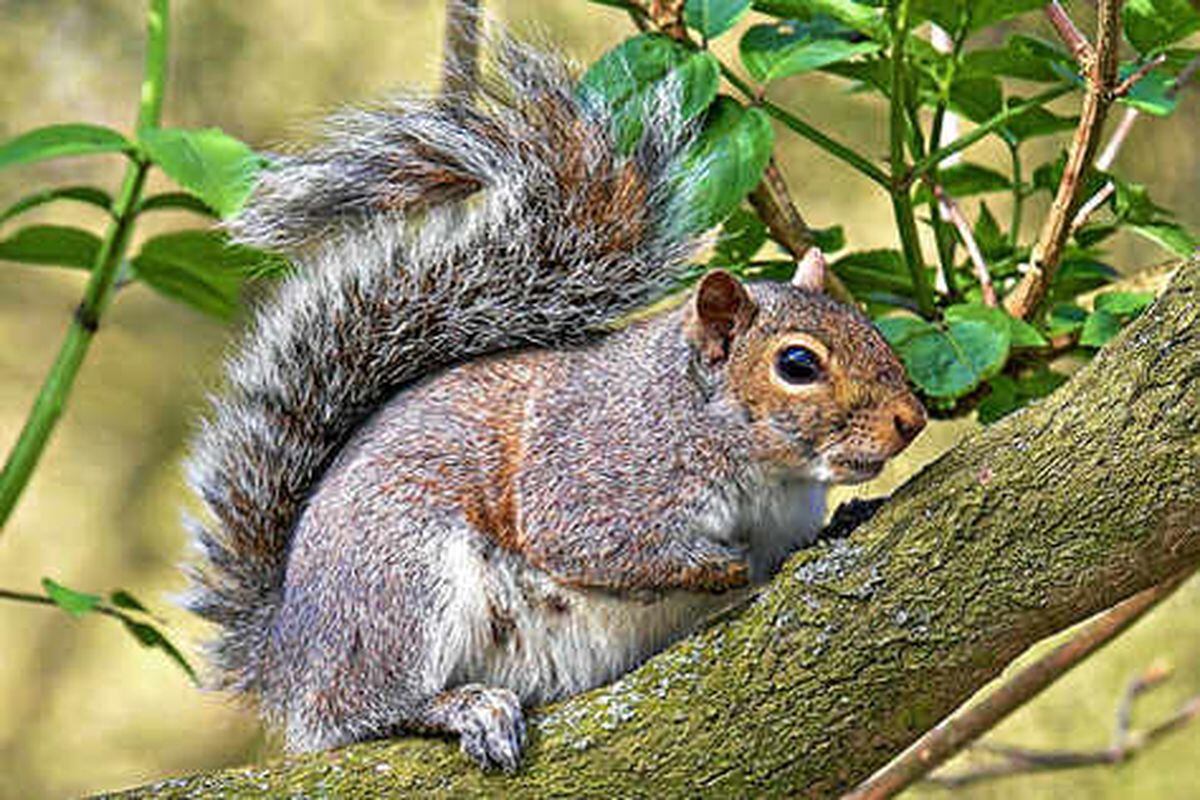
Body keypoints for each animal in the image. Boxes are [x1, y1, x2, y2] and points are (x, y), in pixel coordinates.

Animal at [182, 34, 921, 772]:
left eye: (869, 327)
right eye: (797, 364)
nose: (911, 420)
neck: (756, 466)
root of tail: (285, 657)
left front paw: (842, 519)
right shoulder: (592, 475)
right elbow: (587, 545)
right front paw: (716, 567)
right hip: (401, 583)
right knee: (365, 710)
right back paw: (463, 707)